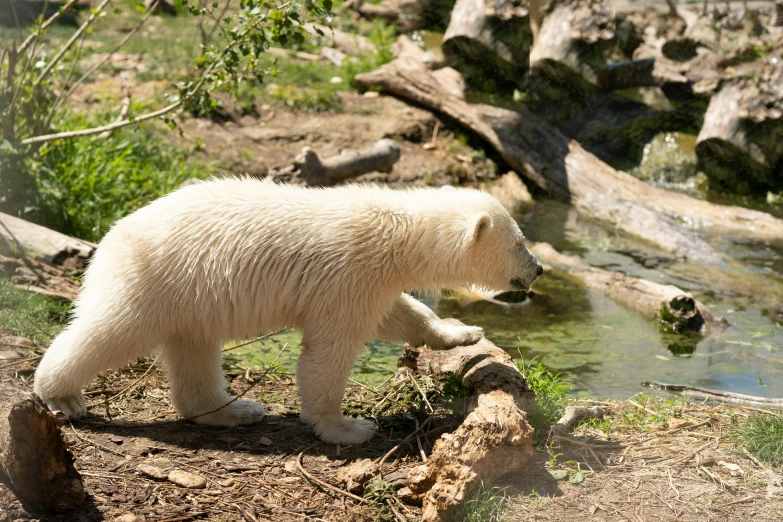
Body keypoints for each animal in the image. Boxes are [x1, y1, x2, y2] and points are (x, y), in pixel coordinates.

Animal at [33, 179, 544, 442]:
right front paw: (348, 427)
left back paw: (236, 410)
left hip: (192, 297)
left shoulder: (369, 279)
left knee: (193, 350)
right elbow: (330, 350)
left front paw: (463, 333)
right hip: (157, 280)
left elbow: (398, 313)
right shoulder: (349, 271)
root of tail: (112, 235)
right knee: (110, 330)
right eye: (520, 241)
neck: (399, 231)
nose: (538, 269)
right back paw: (61, 394)